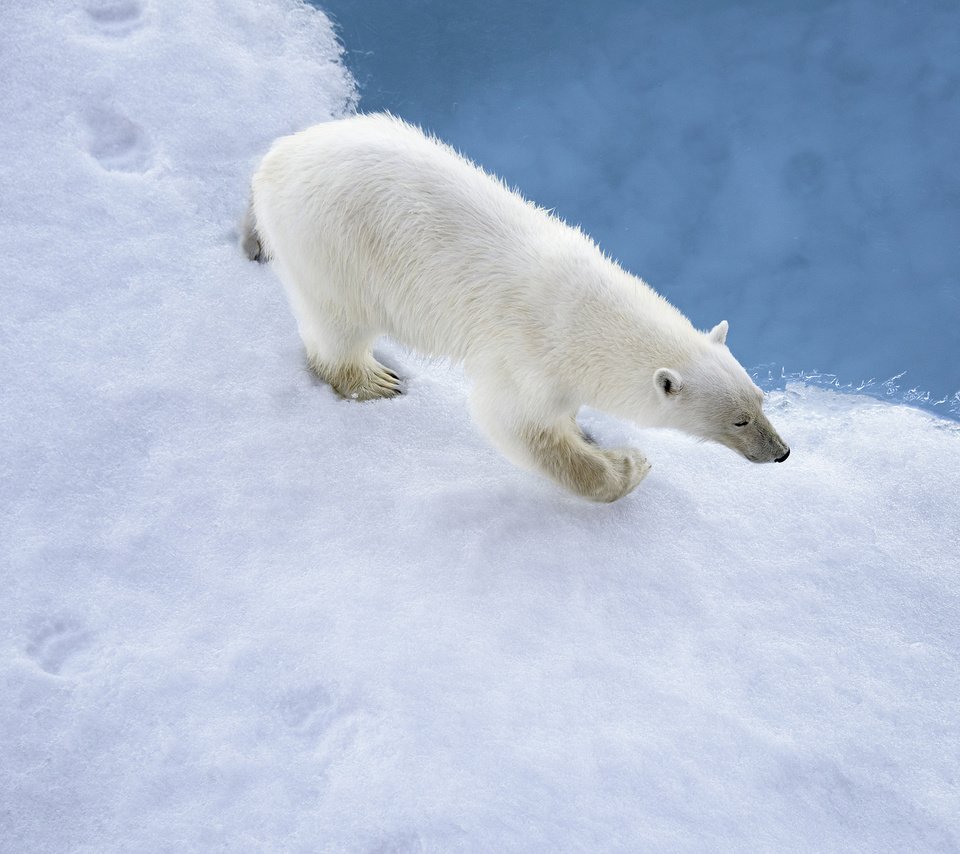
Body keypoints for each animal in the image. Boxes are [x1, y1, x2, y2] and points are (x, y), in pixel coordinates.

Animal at [246, 113, 788, 502]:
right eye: (738, 421)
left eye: (761, 399)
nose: (781, 452)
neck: (587, 316)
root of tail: (276, 157)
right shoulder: (531, 357)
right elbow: (516, 424)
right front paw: (627, 465)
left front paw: (584, 431)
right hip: (332, 250)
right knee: (338, 325)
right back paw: (373, 380)